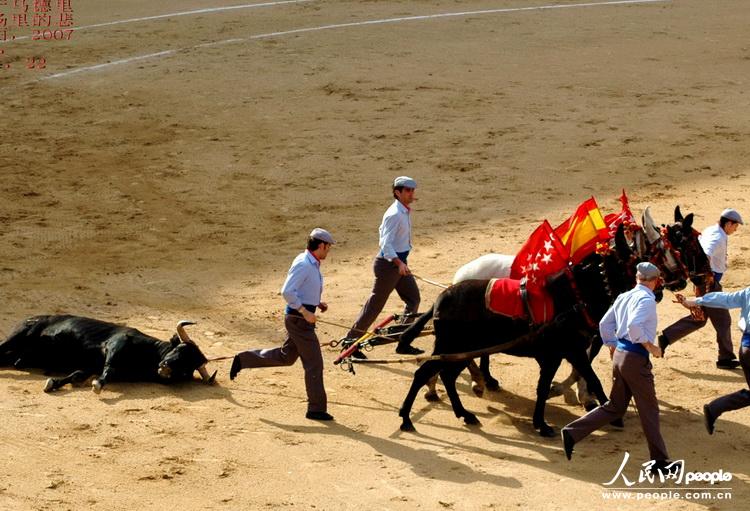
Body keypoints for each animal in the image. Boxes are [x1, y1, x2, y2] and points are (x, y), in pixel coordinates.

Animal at [0, 314, 217, 394]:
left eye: (187, 369)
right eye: (179, 349)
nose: (165, 368)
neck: (148, 356)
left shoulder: (90, 366)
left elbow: (78, 374)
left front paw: (53, 383)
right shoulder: (115, 345)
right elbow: (109, 368)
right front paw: (98, 384)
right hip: (19, 335)